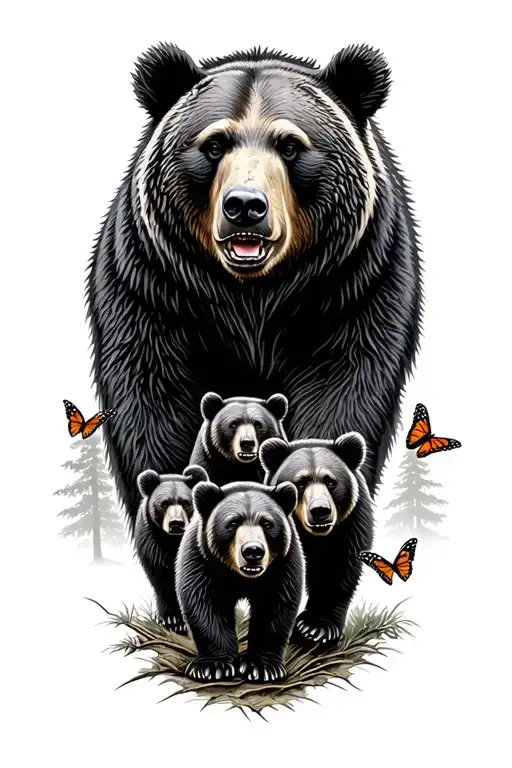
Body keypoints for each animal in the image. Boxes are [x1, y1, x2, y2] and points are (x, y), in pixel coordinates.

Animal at [87, 43, 422, 537]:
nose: (244, 205)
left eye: (290, 144)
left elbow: (342, 393)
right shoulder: (155, 291)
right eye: (213, 144)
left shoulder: (352, 287)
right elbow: (153, 401)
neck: (253, 297)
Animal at [134, 464, 208, 634]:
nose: (176, 523)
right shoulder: (152, 543)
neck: (172, 541)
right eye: (164, 503)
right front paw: (174, 620)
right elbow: (162, 578)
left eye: (186, 502)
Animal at [175, 480, 304, 683]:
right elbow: (206, 605)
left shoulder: (283, 564)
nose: (253, 551)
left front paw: (262, 667)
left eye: (267, 523)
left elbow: (274, 606)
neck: (241, 576)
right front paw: (213, 667)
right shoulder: (202, 559)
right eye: (233, 523)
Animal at [260, 432, 374, 653]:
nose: (320, 510)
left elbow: (338, 569)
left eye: (331, 482)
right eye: (300, 483)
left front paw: (316, 628)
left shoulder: (350, 523)